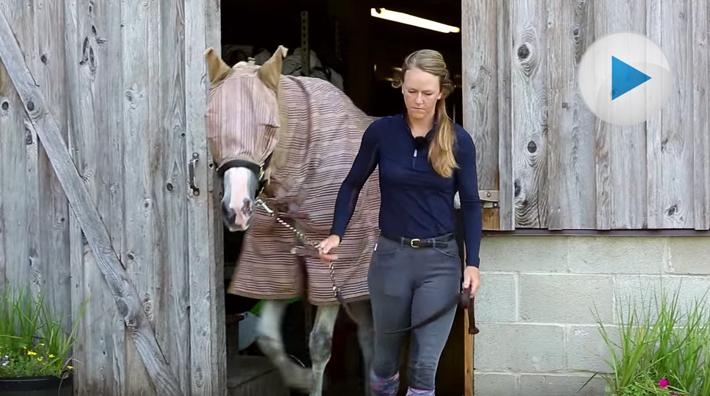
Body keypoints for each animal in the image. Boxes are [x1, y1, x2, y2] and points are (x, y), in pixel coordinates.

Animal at [204, 44, 382, 394]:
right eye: (212, 125)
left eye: (269, 127)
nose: (236, 210)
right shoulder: (276, 265)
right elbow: (267, 338)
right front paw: (299, 377)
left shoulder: (332, 267)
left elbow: (320, 344)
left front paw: (310, 381)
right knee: (369, 333)